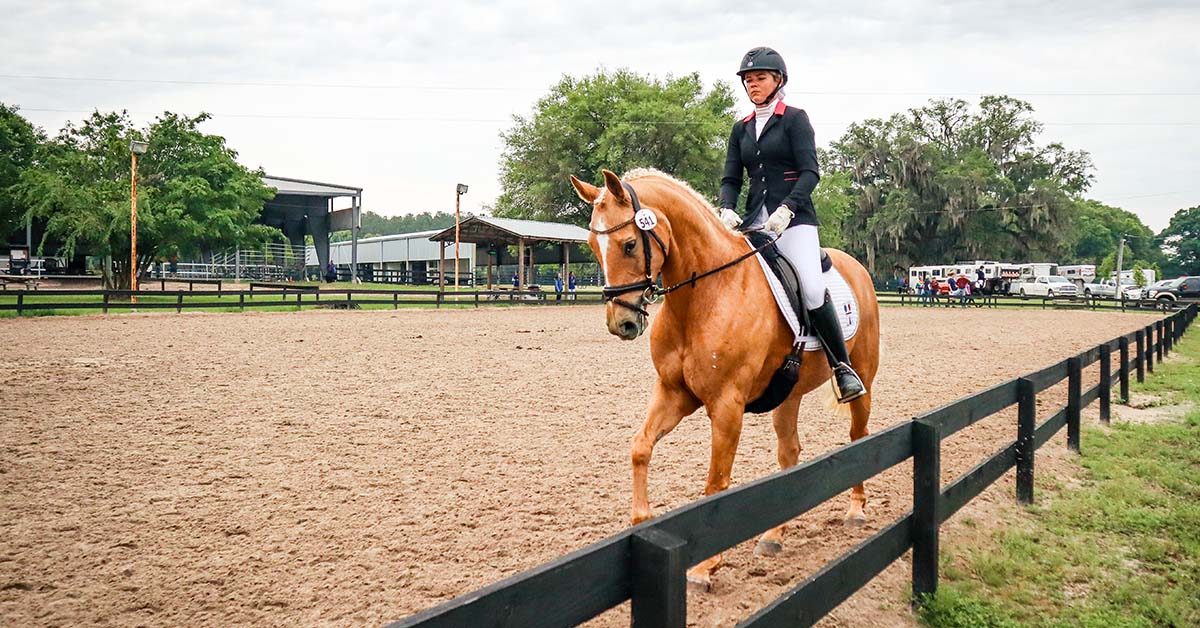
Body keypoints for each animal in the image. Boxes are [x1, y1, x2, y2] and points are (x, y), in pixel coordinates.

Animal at [571, 166, 883, 590]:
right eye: (591, 245)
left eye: (630, 244)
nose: (622, 323)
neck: (702, 294)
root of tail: (857, 268)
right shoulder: (674, 393)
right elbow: (640, 447)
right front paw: (641, 521)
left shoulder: (726, 405)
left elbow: (716, 482)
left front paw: (705, 567)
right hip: (788, 395)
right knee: (789, 453)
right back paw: (773, 536)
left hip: (862, 379)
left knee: (858, 436)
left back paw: (855, 511)